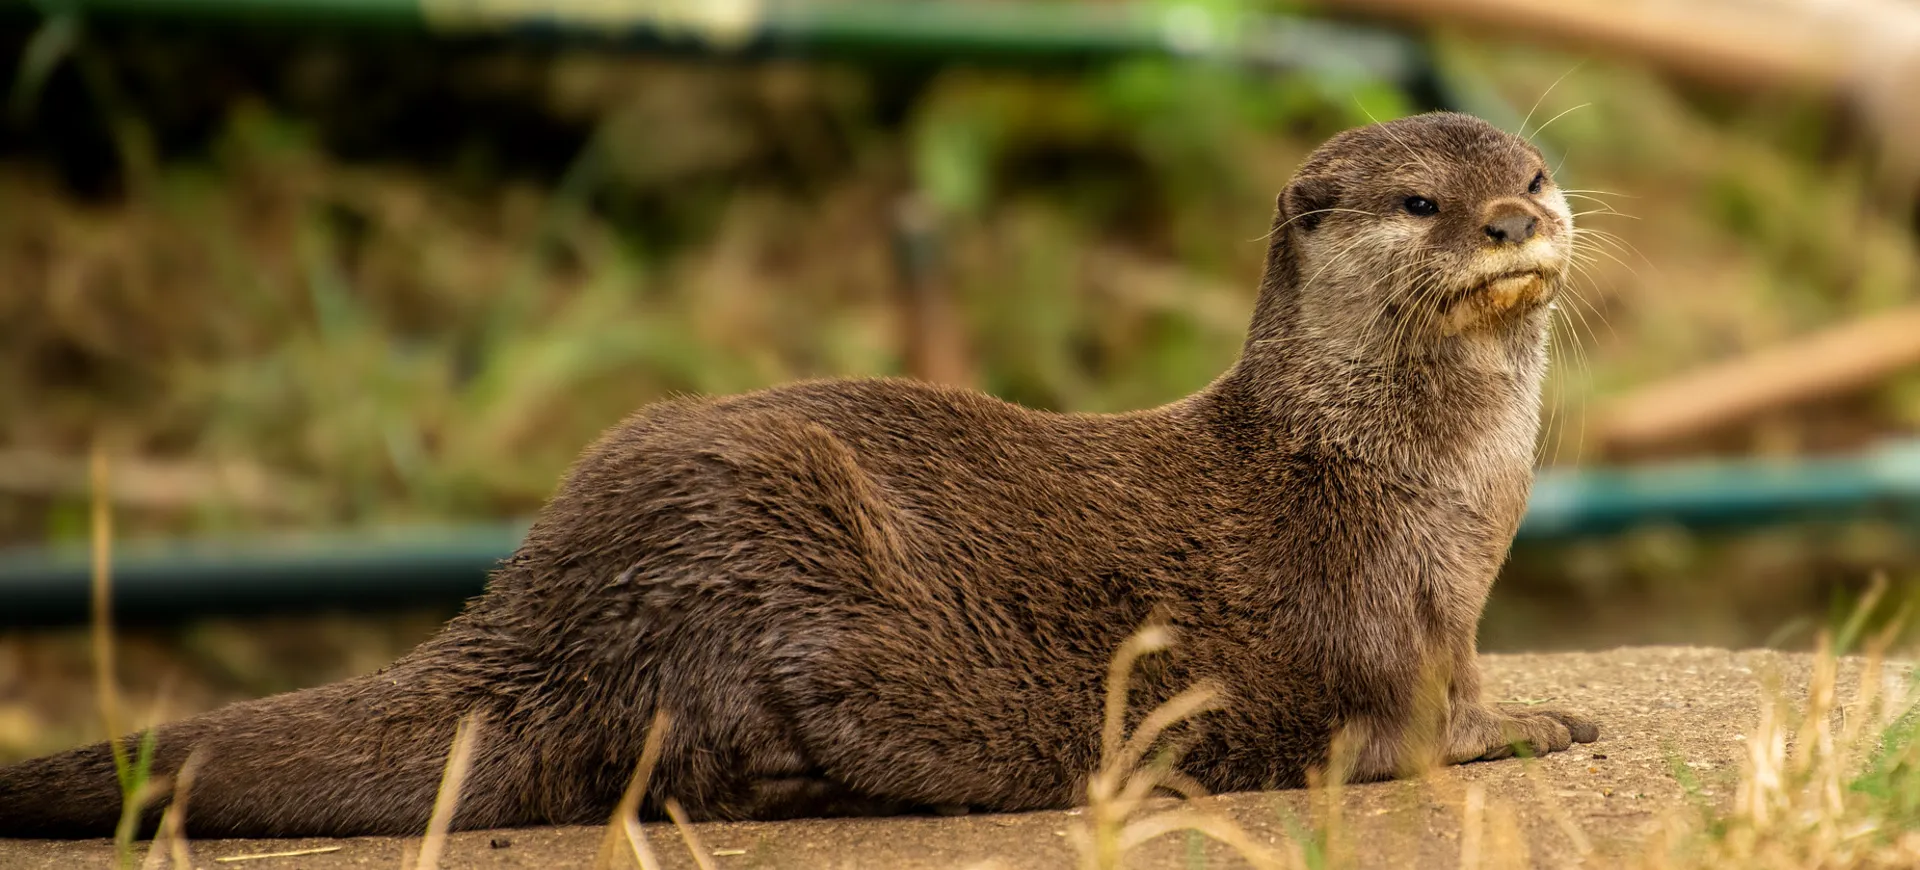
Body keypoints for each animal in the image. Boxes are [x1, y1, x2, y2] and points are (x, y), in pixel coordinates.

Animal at [0, 111, 1605, 837]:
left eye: (1531, 171)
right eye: (1424, 202)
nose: (1515, 220)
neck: (1403, 479)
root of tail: (526, 602)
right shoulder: (1383, 619)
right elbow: (1423, 727)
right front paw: (1536, 727)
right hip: (753, 536)